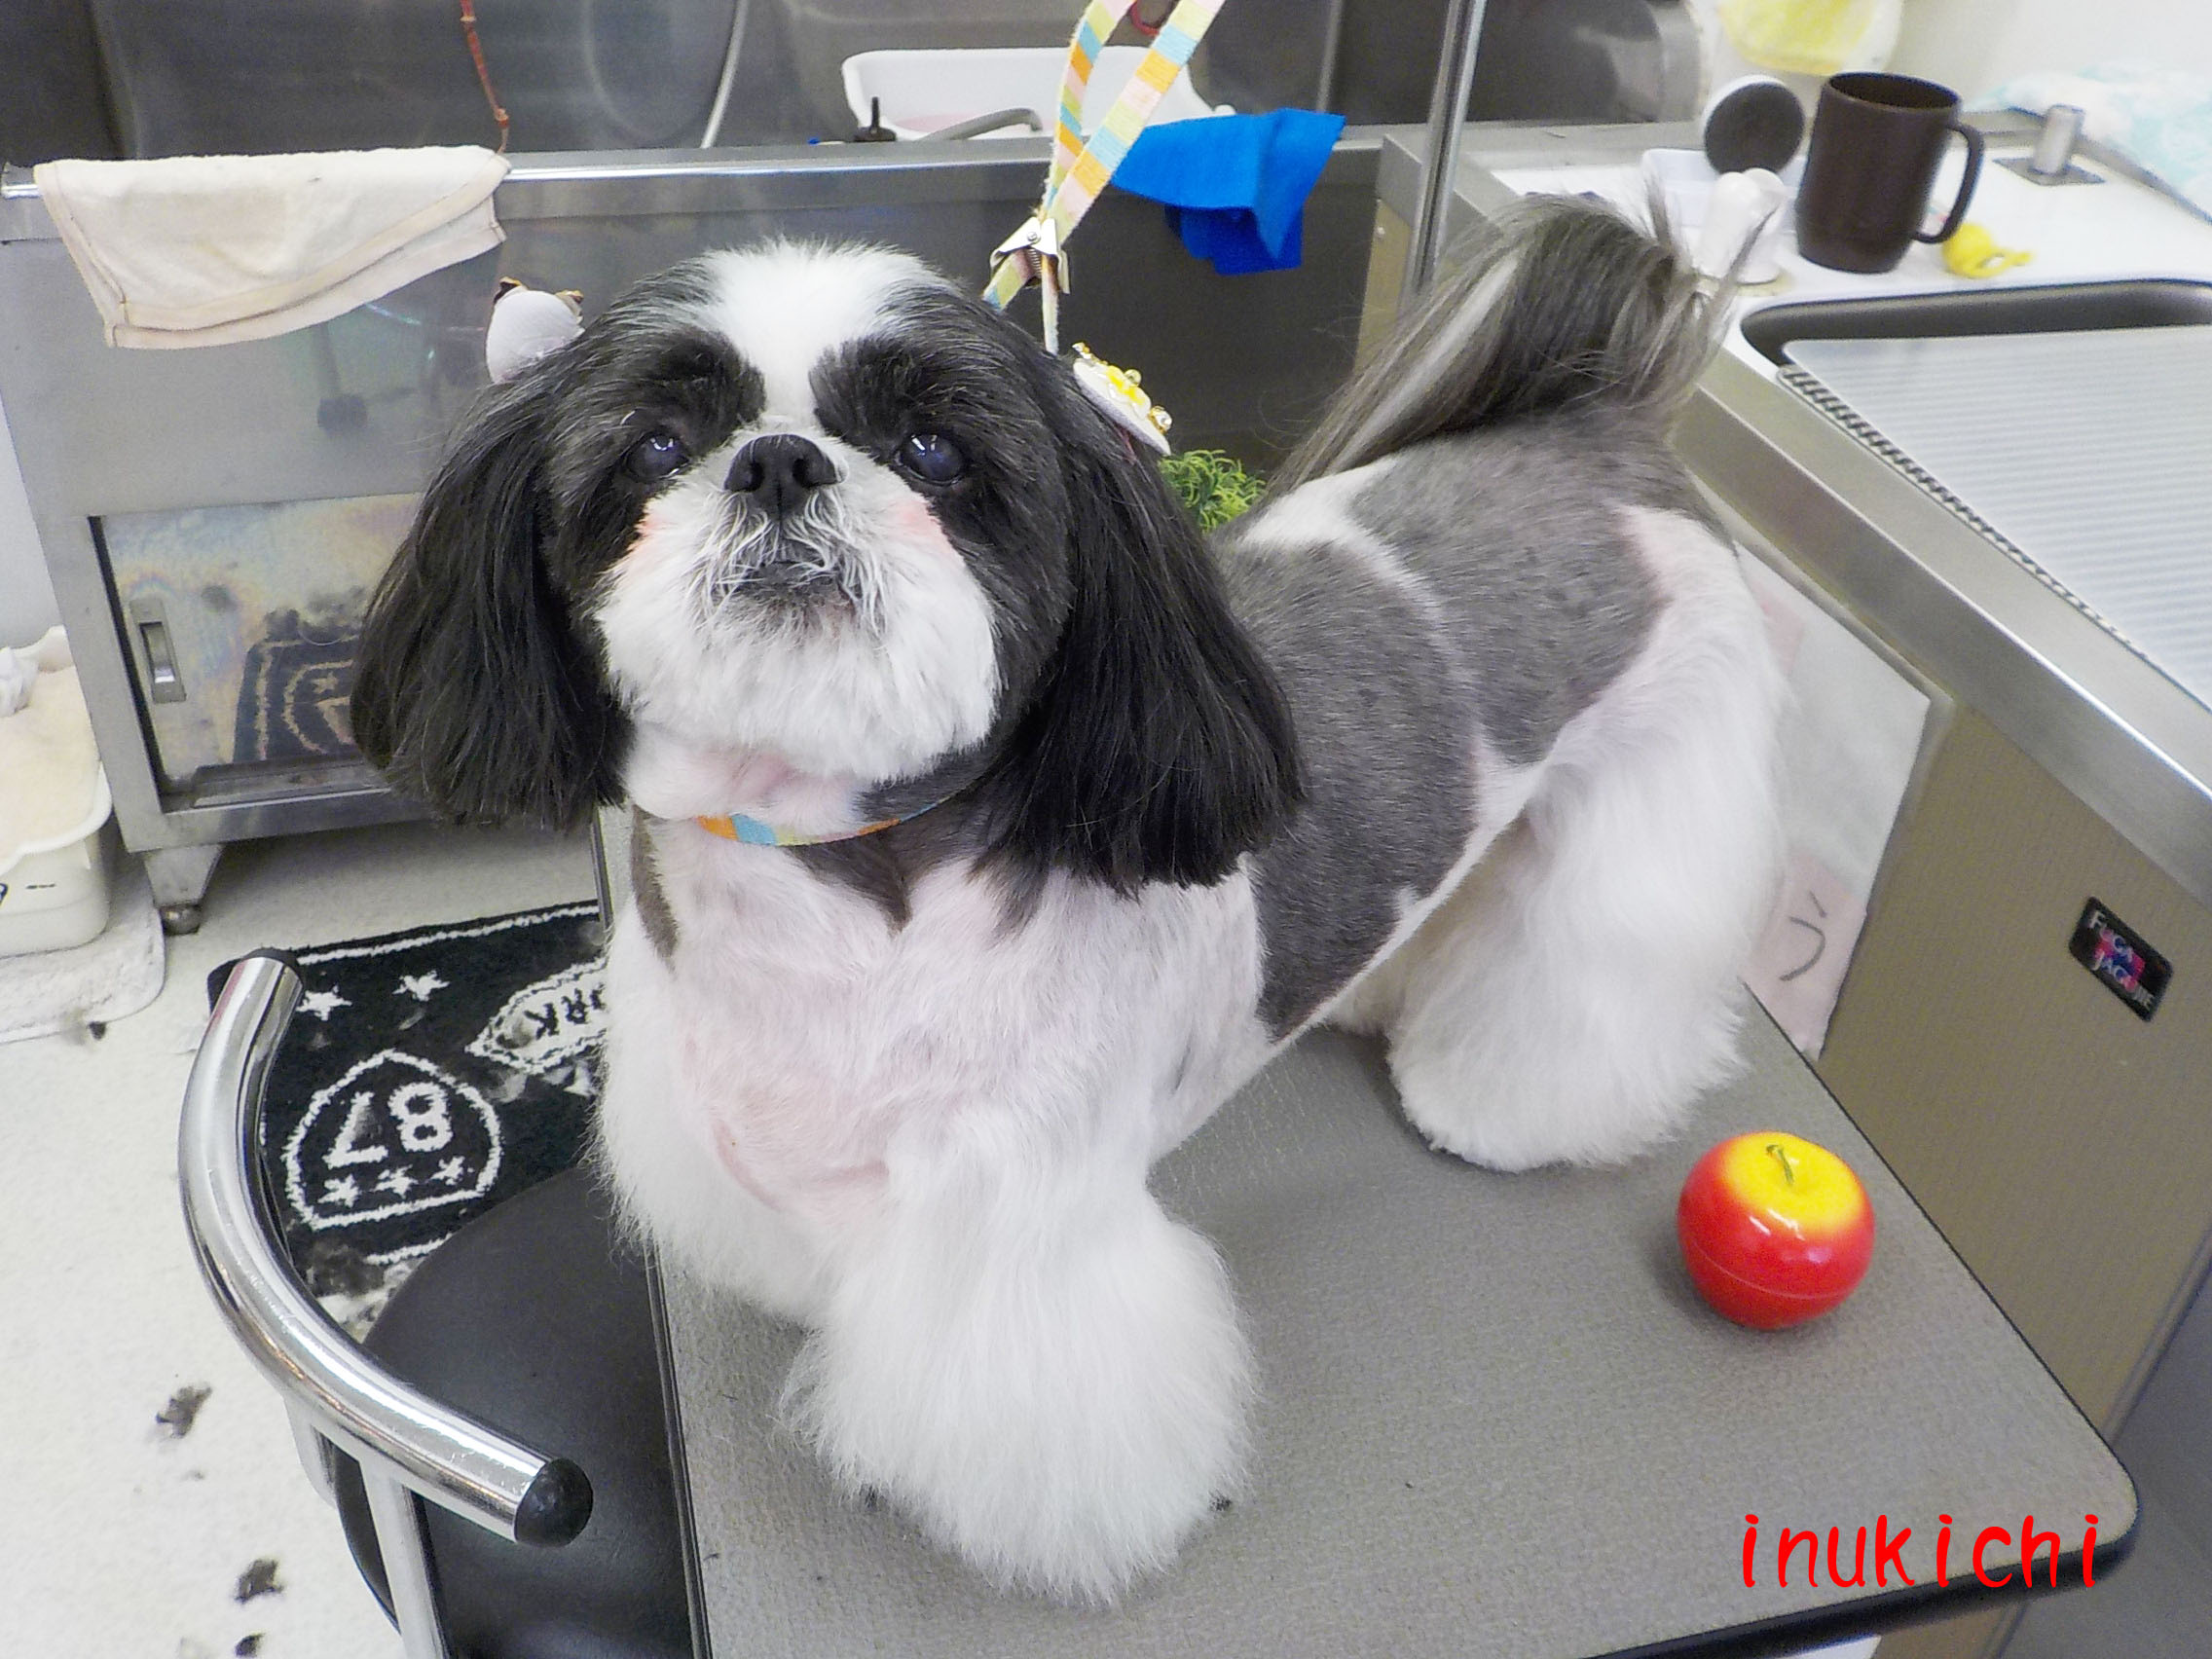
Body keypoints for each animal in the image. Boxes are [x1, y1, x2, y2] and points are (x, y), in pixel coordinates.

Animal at [351, 195, 1782, 1604]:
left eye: (932, 448)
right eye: (655, 444)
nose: (778, 463)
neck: (829, 899)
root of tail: (1599, 426)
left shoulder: (1018, 1246)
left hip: (1651, 805)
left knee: (1596, 960)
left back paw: (1505, 1105)